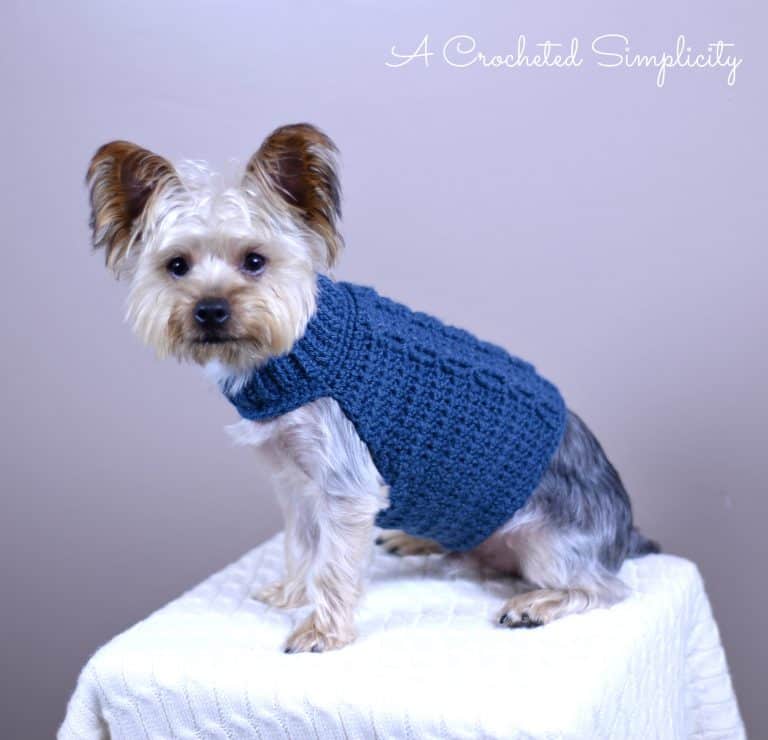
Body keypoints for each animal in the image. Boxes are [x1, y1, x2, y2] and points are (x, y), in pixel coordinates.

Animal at [87, 121, 656, 652]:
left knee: (603, 588)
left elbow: (333, 562)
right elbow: (302, 543)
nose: (209, 310)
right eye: (175, 266)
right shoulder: (296, 480)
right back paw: (415, 540)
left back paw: (536, 603)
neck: (294, 350)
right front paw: (292, 593)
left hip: (551, 543)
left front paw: (322, 630)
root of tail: (625, 531)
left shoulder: (345, 482)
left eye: (254, 261)